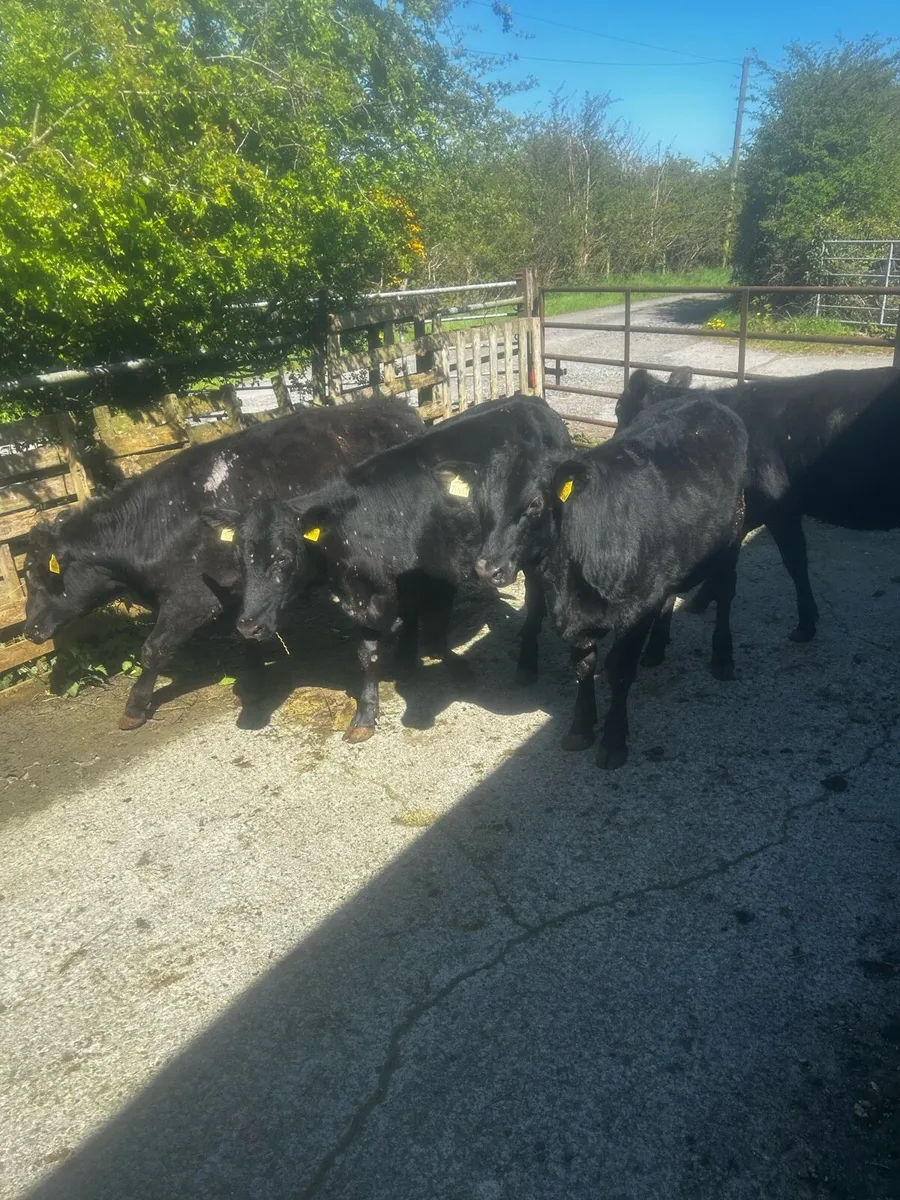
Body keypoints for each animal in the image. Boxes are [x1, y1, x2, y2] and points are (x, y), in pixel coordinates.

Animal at [23, 397, 423, 729]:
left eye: (40, 574)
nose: (29, 630)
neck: (155, 525)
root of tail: (394, 407)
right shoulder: (236, 588)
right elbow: (244, 632)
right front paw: (257, 678)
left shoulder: (192, 599)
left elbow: (153, 650)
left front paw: (134, 708)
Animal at [227, 394, 572, 741]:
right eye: (239, 557)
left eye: (282, 556)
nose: (247, 625)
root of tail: (529, 401)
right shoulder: (363, 600)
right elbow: (369, 655)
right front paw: (367, 714)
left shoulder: (443, 578)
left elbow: (434, 637)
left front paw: (459, 673)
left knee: (534, 603)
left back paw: (526, 664)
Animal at [474, 395, 749, 768]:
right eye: (480, 503)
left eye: (534, 503)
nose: (487, 568)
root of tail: (706, 399)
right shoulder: (579, 617)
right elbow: (583, 665)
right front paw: (580, 728)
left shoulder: (635, 610)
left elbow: (619, 670)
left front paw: (613, 741)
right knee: (670, 597)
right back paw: (656, 649)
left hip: (733, 533)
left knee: (725, 592)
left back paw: (722, 657)